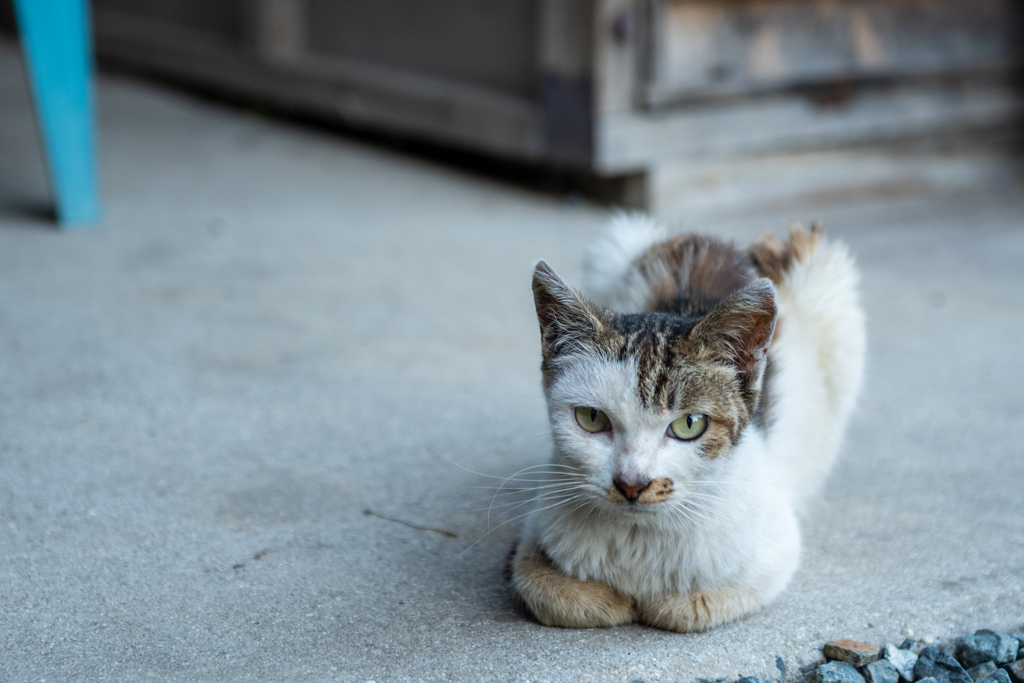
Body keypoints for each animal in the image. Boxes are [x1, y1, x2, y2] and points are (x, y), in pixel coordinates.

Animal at [509, 211, 864, 630]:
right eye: (592, 418)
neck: (640, 538)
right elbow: (542, 586)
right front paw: (606, 599)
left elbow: (690, 607)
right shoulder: (536, 524)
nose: (631, 483)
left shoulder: (776, 550)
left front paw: (661, 602)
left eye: (689, 424)